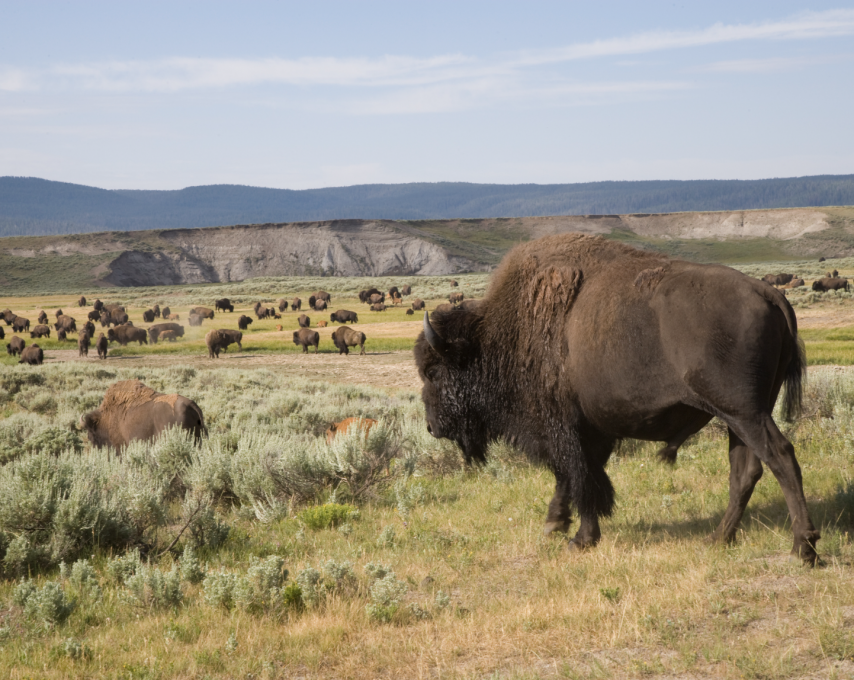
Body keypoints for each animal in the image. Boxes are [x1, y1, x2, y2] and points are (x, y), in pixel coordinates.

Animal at [418, 234, 820, 564]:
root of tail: (769, 293)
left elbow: (581, 479)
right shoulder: (591, 430)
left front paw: (579, 539)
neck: (502, 333)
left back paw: (803, 548)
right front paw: (555, 525)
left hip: (743, 412)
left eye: (434, 372)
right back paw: (718, 539)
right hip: (740, 417)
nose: (432, 427)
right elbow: (578, 478)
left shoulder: (565, 429)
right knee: (745, 470)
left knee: (780, 457)